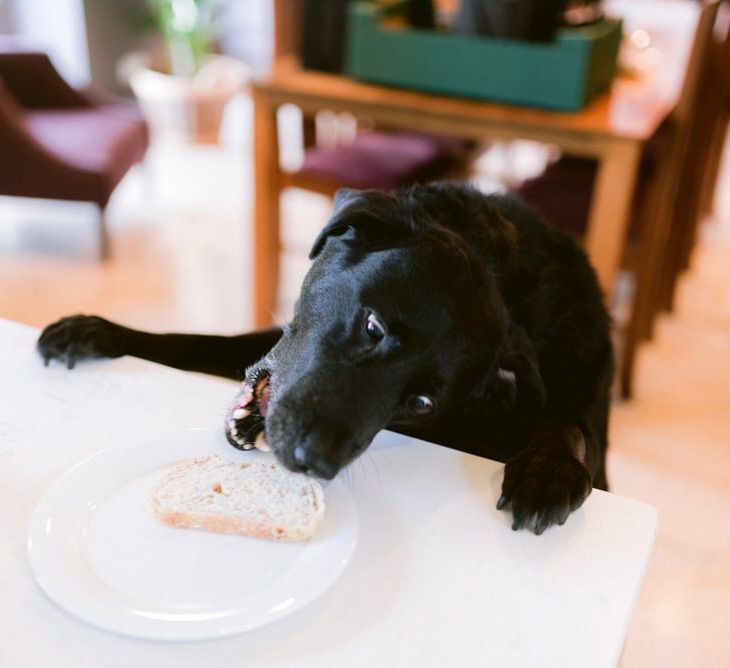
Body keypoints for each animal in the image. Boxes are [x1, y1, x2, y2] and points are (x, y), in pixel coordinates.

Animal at [37, 184, 612, 536]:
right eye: (373, 326)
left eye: (421, 403)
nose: (312, 461)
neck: (503, 269)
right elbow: (193, 339)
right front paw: (99, 332)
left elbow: (568, 423)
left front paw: (549, 467)